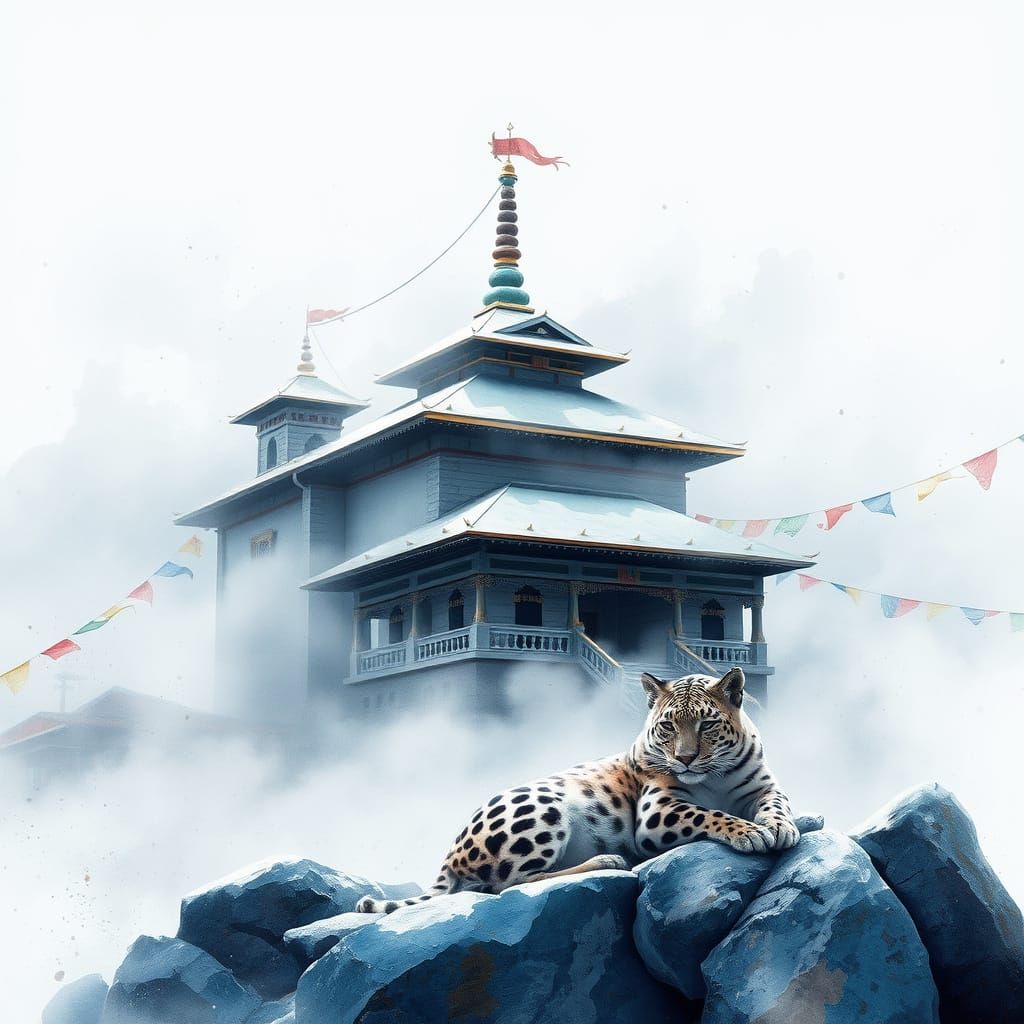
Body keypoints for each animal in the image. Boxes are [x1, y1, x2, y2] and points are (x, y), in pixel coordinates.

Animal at [356, 666, 799, 914]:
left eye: (707, 725)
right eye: (668, 727)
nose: (686, 759)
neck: (715, 776)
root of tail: (450, 853)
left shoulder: (762, 787)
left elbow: (778, 804)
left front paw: (780, 826)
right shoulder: (657, 812)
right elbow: (710, 814)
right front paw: (750, 833)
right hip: (542, 808)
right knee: (509, 883)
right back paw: (609, 860)